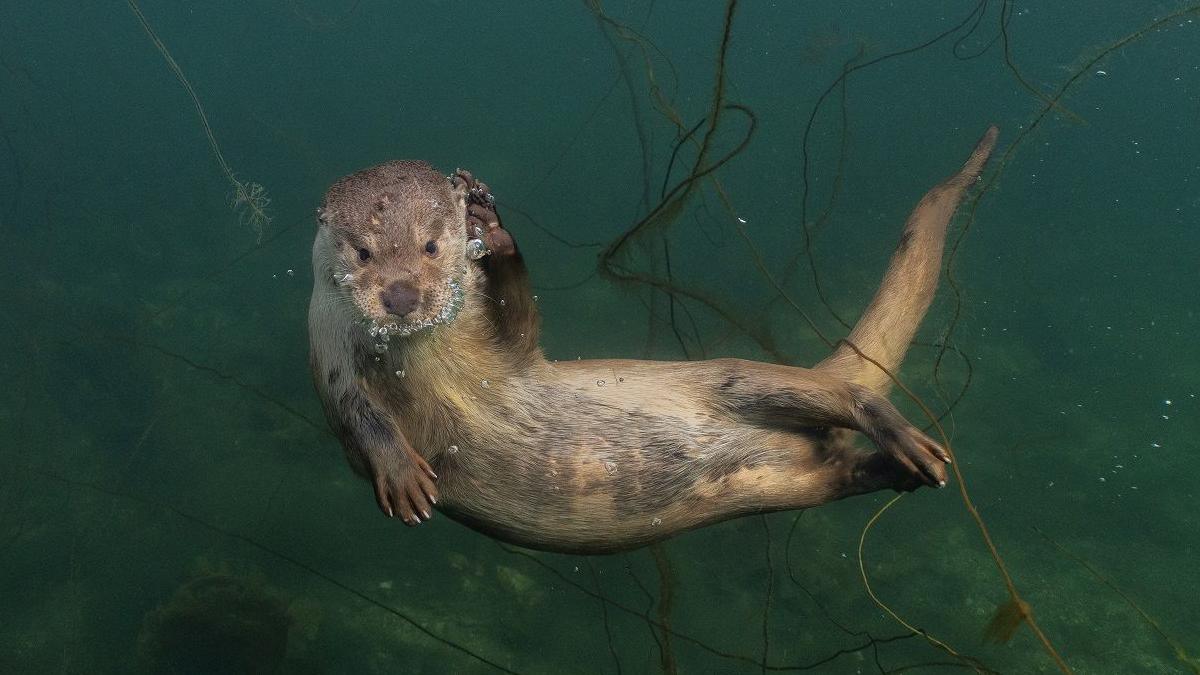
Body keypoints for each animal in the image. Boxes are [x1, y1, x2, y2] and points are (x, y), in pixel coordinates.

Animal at [307, 127, 993, 552]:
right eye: (364, 252)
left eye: (430, 245)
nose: (401, 295)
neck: (430, 362)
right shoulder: (329, 357)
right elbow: (357, 417)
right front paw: (402, 476)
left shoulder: (509, 357)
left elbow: (522, 330)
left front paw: (492, 227)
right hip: (780, 486)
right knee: (833, 472)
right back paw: (895, 470)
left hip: (733, 380)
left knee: (843, 395)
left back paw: (908, 442)